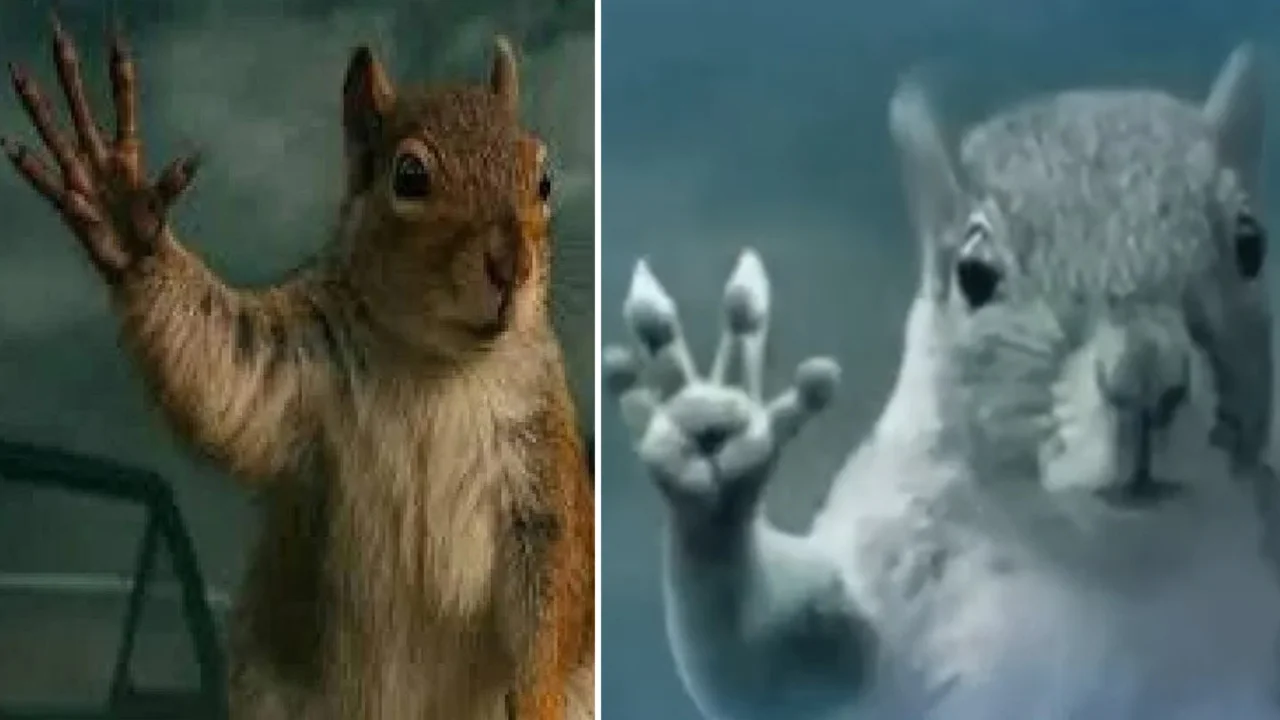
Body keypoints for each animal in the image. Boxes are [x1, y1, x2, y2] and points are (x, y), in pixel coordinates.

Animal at [3, 16, 593, 720]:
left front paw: (537, 701)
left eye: (544, 179)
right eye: (410, 176)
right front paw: (121, 213)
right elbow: (220, 368)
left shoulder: (540, 451)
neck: (433, 359)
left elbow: (557, 589)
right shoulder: (293, 361)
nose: (512, 266)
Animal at [605, 45, 1280, 720]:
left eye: (1252, 244)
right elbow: (766, 653)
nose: (1143, 378)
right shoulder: (881, 577)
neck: (1111, 564)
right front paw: (711, 449)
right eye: (974, 273)